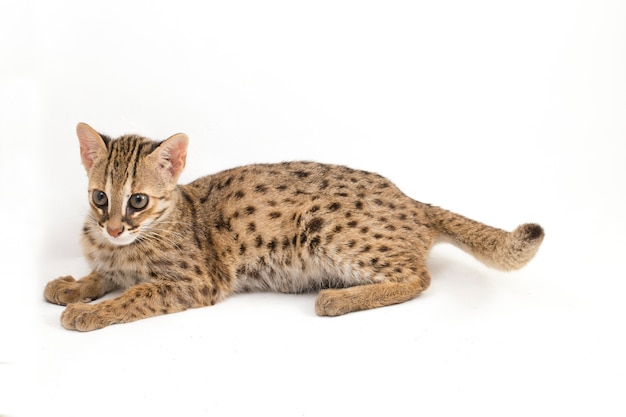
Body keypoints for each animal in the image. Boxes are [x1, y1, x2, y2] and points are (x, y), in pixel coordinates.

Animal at [42, 122, 540, 330]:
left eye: (138, 201)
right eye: (100, 197)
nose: (113, 228)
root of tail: (411, 199)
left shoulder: (196, 280)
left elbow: (132, 295)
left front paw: (87, 312)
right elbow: (102, 276)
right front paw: (72, 287)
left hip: (328, 226)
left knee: (418, 276)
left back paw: (338, 299)